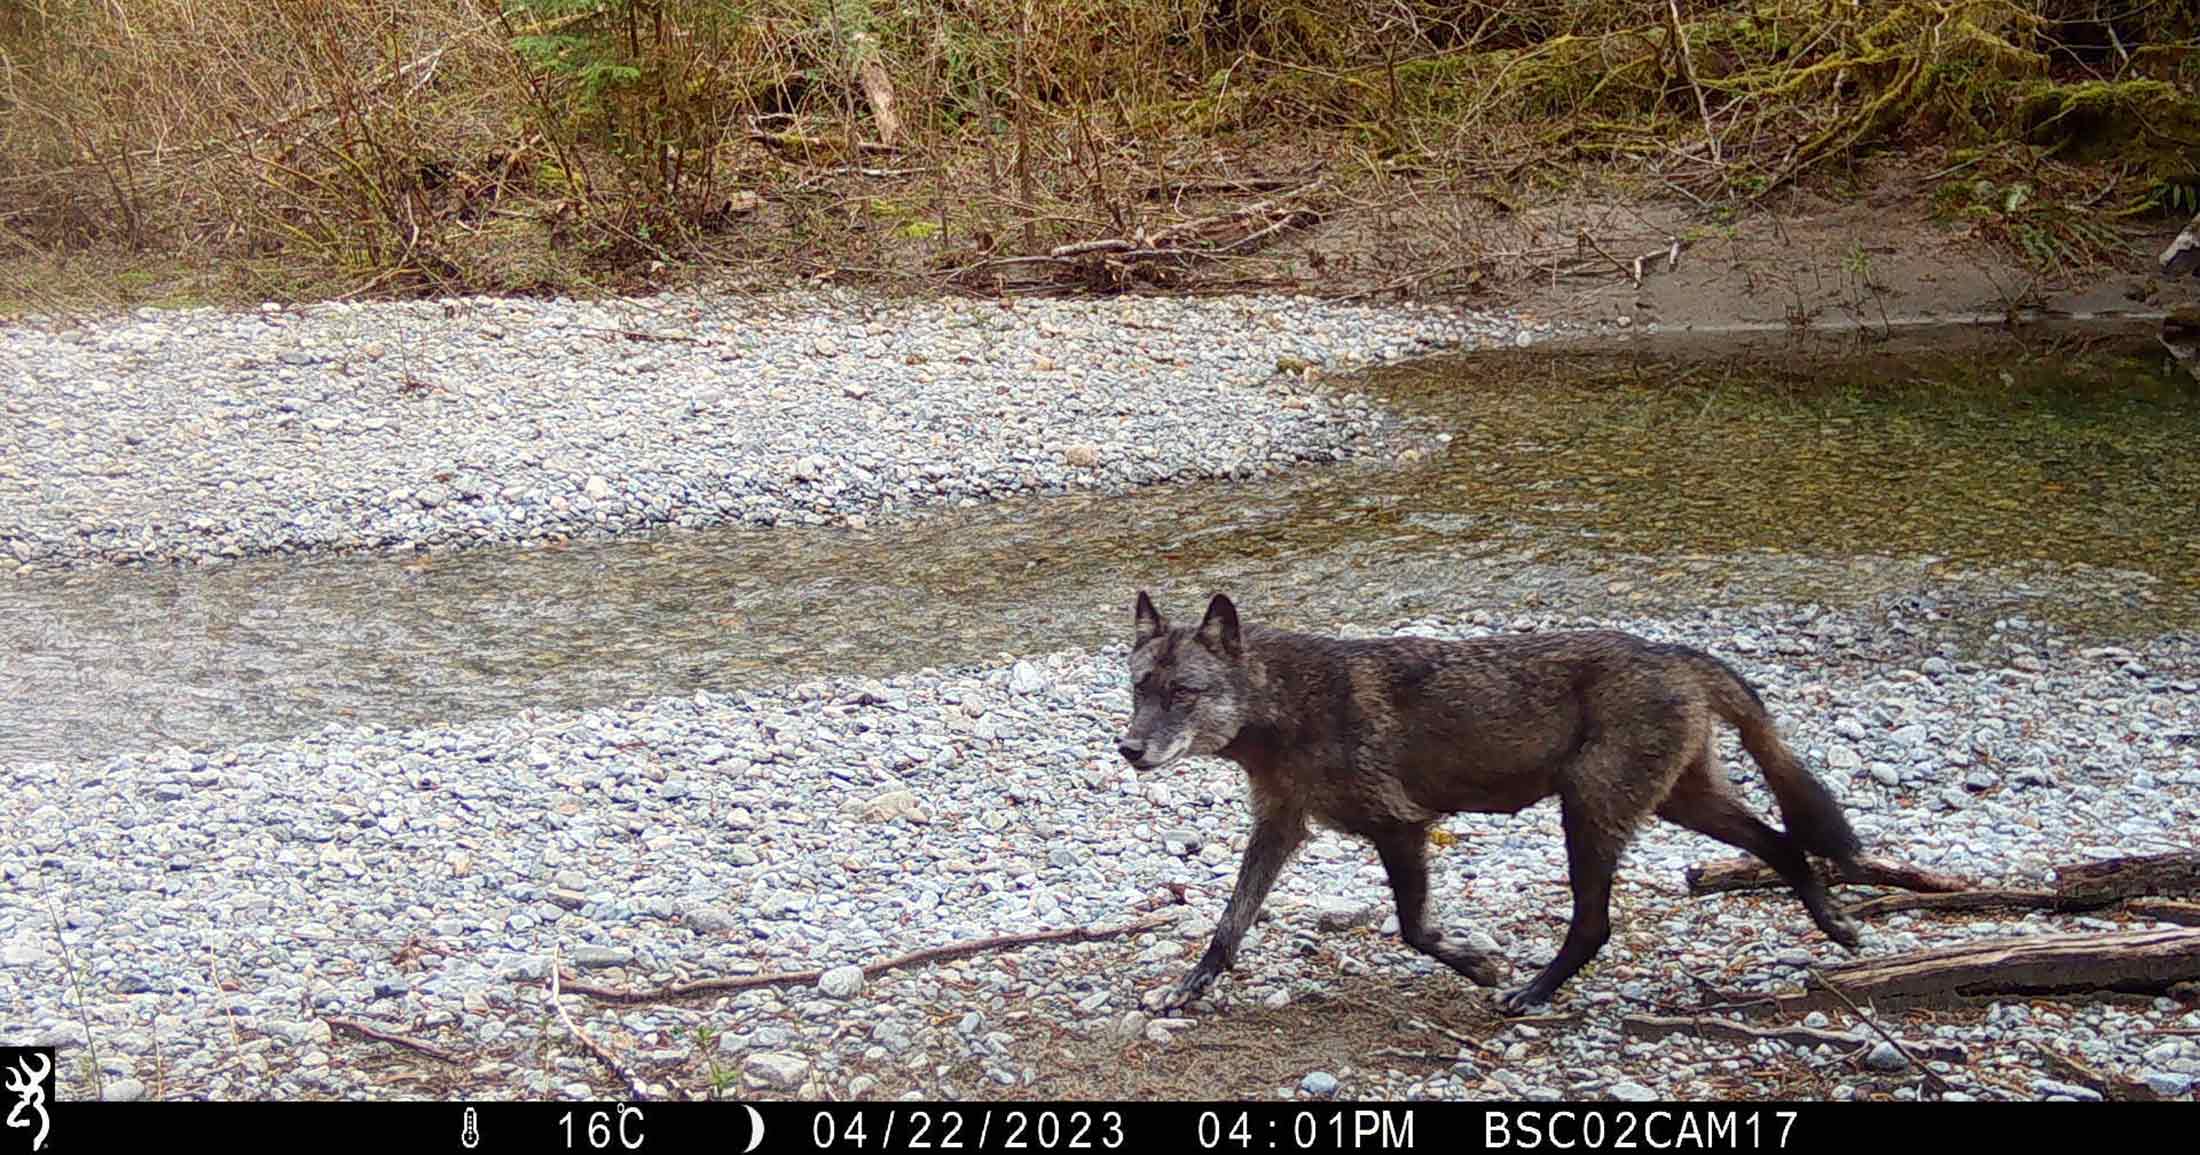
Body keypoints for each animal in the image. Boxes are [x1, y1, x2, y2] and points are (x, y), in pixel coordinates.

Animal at [1116, 592, 1865, 1013]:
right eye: (1138, 689)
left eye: (1182, 693)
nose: (1128, 748)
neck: (1286, 706)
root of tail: (1674, 653)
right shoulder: (1278, 827)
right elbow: (1228, 923)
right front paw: (1188, 989)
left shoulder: (1401, 826)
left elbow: (1413, 929)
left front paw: (1478, 965)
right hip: (1680, 804)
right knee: (1782, 841)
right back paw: (1834, 924)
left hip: (1589, 812)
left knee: (1595, 924)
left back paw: (1530, 993)